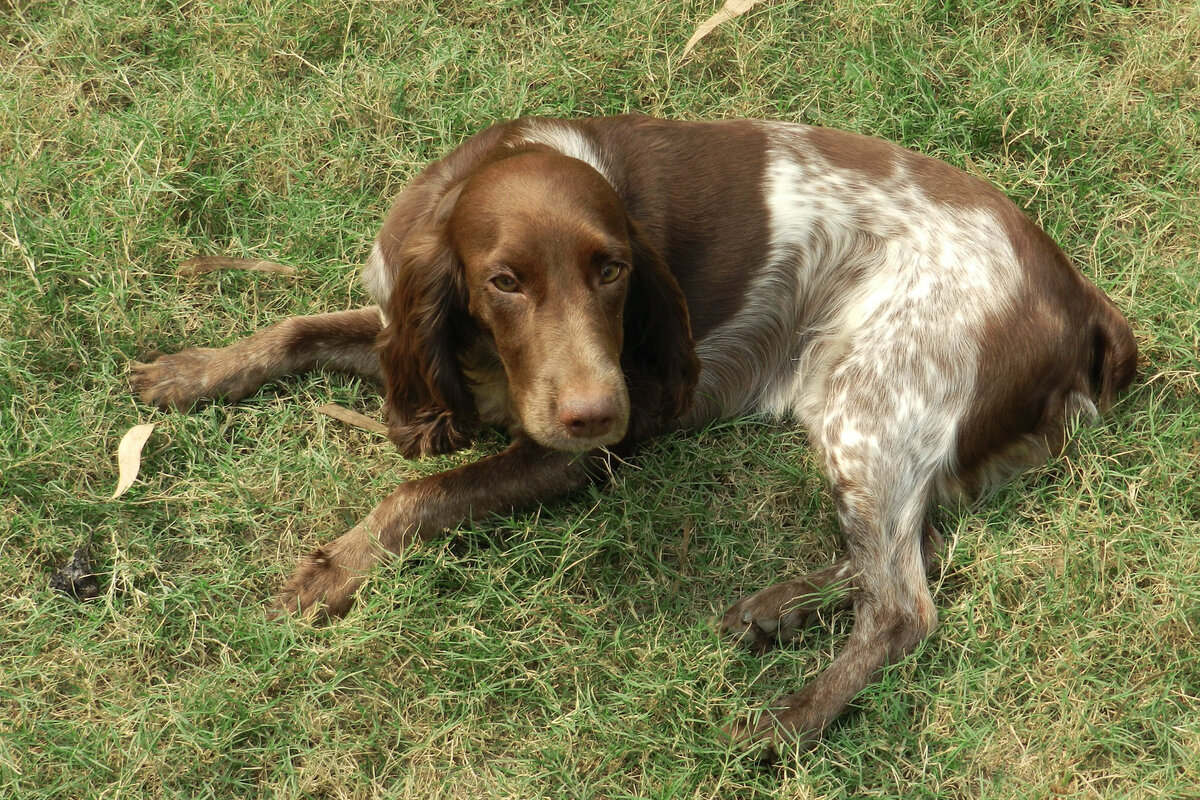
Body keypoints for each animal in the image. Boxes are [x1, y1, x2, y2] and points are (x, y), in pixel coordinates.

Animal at [131, 113, 1132, 753]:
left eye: (612, 270)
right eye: (503, 281)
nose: (595, 411)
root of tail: (1081, 297)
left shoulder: (572, 458)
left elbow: (418, 493)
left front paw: (331, 570)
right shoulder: (405, 330)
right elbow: (294, 331)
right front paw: (190, 371)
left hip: (870, 401)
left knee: (903, 607)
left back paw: (778, 726)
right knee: (903, 552)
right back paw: (774, 611)